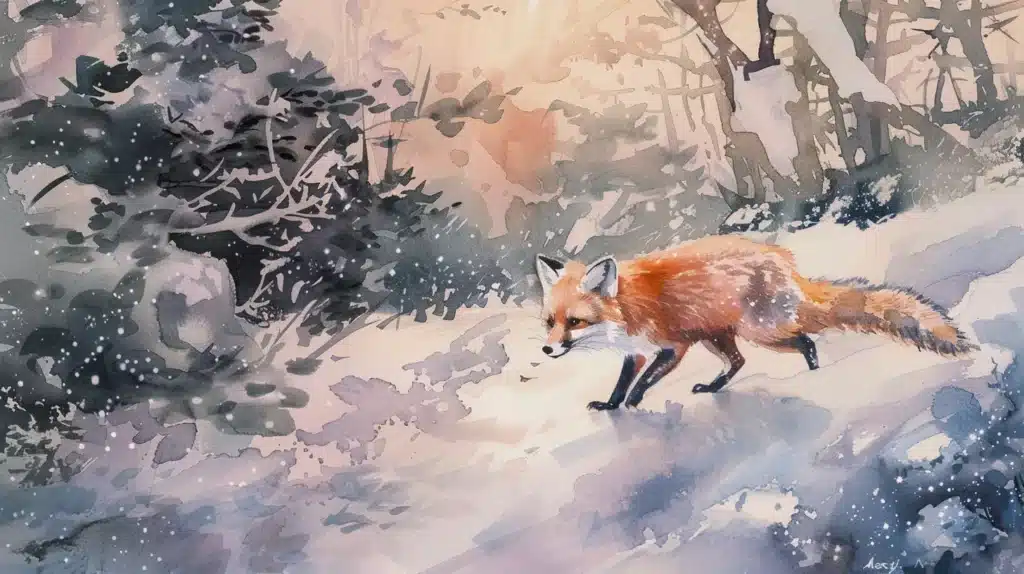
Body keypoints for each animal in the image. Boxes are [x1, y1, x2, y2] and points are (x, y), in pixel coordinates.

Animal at [535, 235, 979, 411]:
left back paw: (815, 373)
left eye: (575, 321)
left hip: (759, 332)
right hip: (719, 337)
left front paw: (634, 402)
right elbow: (623, 381)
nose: (547, 348)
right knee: (739, 363)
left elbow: (643, 382)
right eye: (549, 322)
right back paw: (714, 387)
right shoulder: (636, 353)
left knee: (806, 340)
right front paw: (611, 405)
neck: (627, 308)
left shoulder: (674, 344)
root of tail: (786, 263)